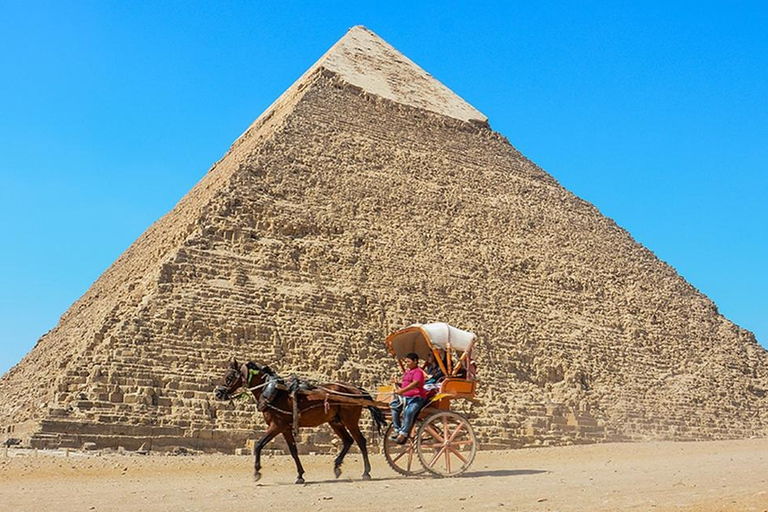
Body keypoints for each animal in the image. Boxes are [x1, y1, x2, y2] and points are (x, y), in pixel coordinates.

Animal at [214, 358, 384, 482]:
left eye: (229, 377)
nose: (218, 393)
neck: (272, 391)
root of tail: (356, 390)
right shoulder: (285, 428)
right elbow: (293, 450)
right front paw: (300, 475)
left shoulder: (276, 425)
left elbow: (258, 444)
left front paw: (256, 471)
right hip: (335, 421)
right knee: (348, 440)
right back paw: (337, 467)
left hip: (350, 420)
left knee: (360, 441)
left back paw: (366, 472)